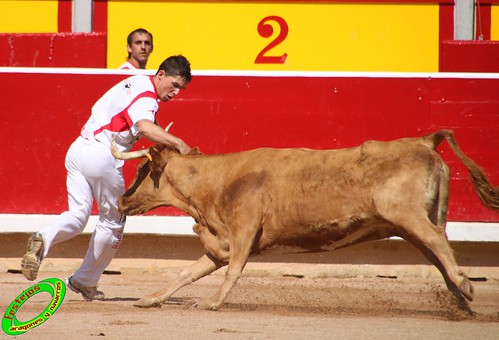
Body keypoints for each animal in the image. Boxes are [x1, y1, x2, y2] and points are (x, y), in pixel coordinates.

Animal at [114, 130, 499, 310]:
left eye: (142, 170)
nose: (122, 199)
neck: (217, 181)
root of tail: (424, 140)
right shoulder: (220, 240)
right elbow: (187, 272)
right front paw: (151, 298)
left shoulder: (243, 232)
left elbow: (233, 270)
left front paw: (212, 303)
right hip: (423, 218)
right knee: (438, 250)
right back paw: (459, 298)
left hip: (407, 216)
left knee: (437, 242)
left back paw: (465, 286)